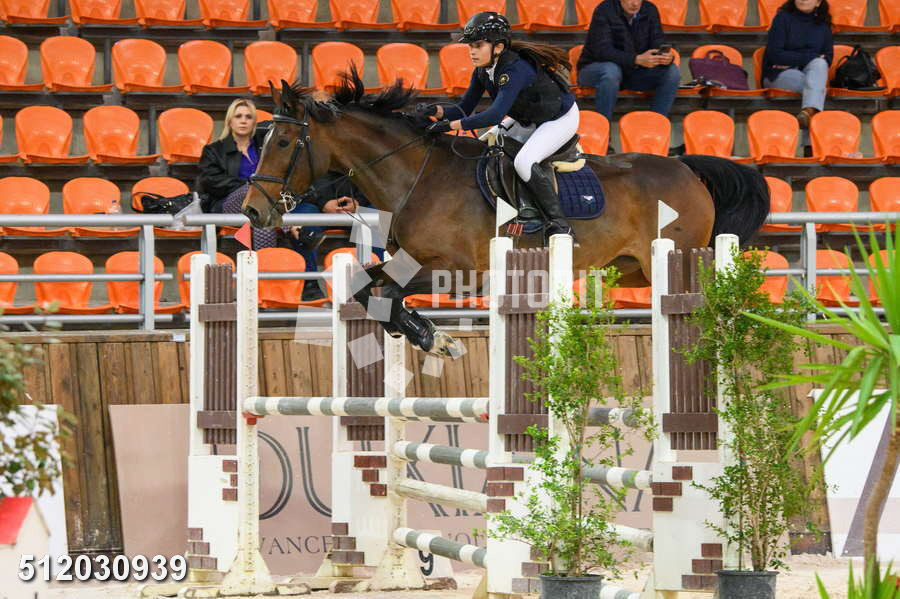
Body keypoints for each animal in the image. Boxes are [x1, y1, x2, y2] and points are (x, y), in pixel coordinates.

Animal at [243, 73, 769, 357]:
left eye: (284, 142)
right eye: (261, 138)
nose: (251, 210)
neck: (416, 174)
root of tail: (686, 167)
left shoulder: (456, 271)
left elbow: (386, 291)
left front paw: (437, 340)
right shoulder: (411, 263)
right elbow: (369, 287)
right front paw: (430, 337)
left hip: (676, 256)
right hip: (633, 269)